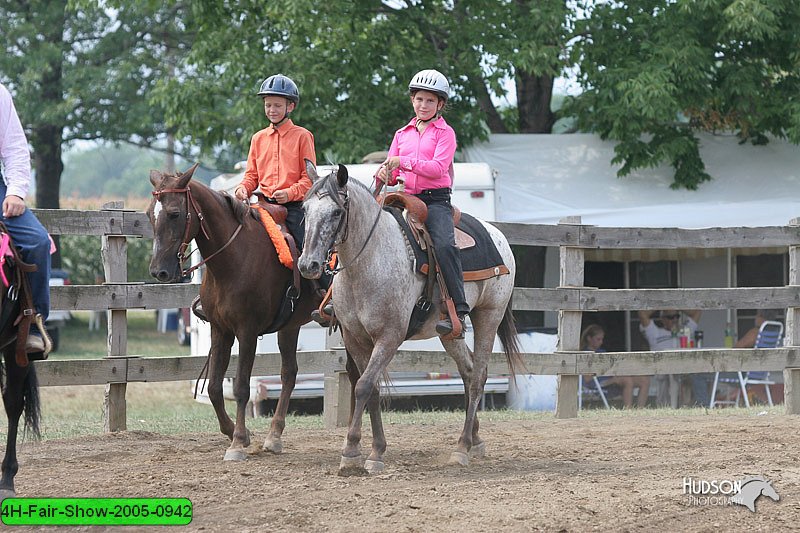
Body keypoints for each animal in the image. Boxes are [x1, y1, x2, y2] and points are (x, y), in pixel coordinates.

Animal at [148, 164, 324, 460]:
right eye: (150, 214)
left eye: (174, 213)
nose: (158, 271)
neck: (234, 259)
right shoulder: (220, 330)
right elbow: (215, 387)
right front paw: (233, 432)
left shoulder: (247, 332)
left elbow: (242, 386)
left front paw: (238, 441)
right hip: (290, 327)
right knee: (290, 374)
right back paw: (274, 436)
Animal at [296, 161, 520, 474]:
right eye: (305, 209)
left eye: (337, 212)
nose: (309, 264)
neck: (369, 262)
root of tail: (497, 235)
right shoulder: (354, 338)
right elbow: (370, 388)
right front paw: (373, 450)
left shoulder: (389, 337)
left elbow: (363, 385)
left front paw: (352, 451)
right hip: (449, 332)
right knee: (467, 370)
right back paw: (474, 441)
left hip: (489, 315)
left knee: (478, 376)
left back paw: (461, 447)